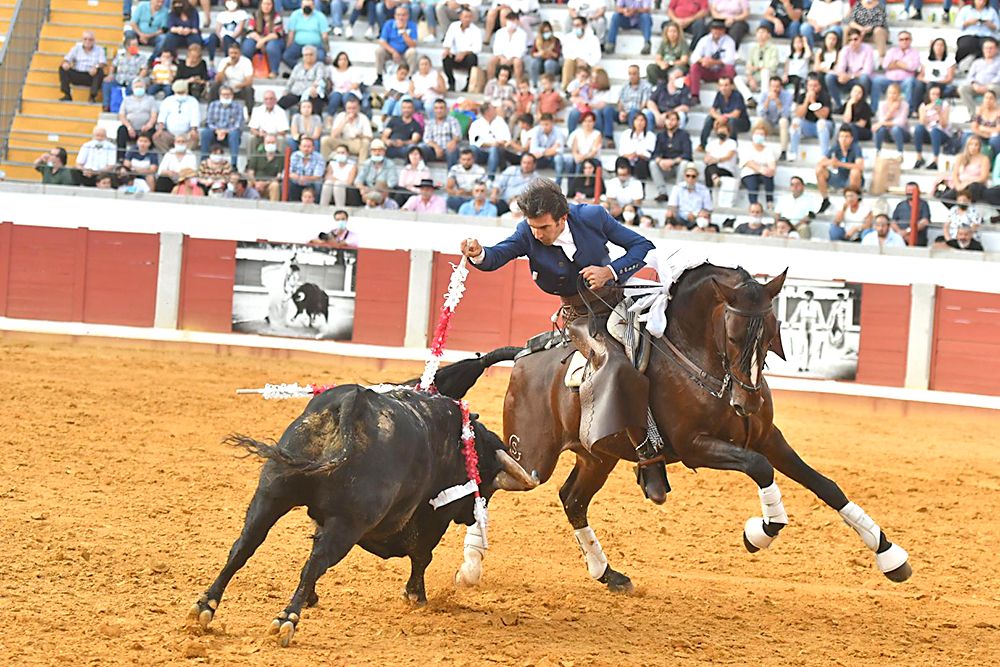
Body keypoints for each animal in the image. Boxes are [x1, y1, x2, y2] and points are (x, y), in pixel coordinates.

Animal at [190, 380, 536, 648]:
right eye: (485, 482)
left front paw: (313, 597)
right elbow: (422, 556)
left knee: (243, 547)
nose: (472, 517)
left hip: (270, 496)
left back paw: (205, 606)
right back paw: (287, 619)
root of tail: (349, 403)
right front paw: (416, 597)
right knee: (315, 563)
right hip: (348, 524)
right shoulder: (431, 519)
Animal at [458, 264, 912, 592]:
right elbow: (760, 468)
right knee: (492, 480)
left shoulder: (768, 437)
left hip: (596, 456)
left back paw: (608, 574)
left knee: (572, 500)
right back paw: (471, 566)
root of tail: (524, 355)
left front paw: (890, 556)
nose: (746, 403)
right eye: (733, 335)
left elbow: (825, 485)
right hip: (532, 456)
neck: (703, 363)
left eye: (771, 334)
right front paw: (760, 532)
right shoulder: (696, 446)